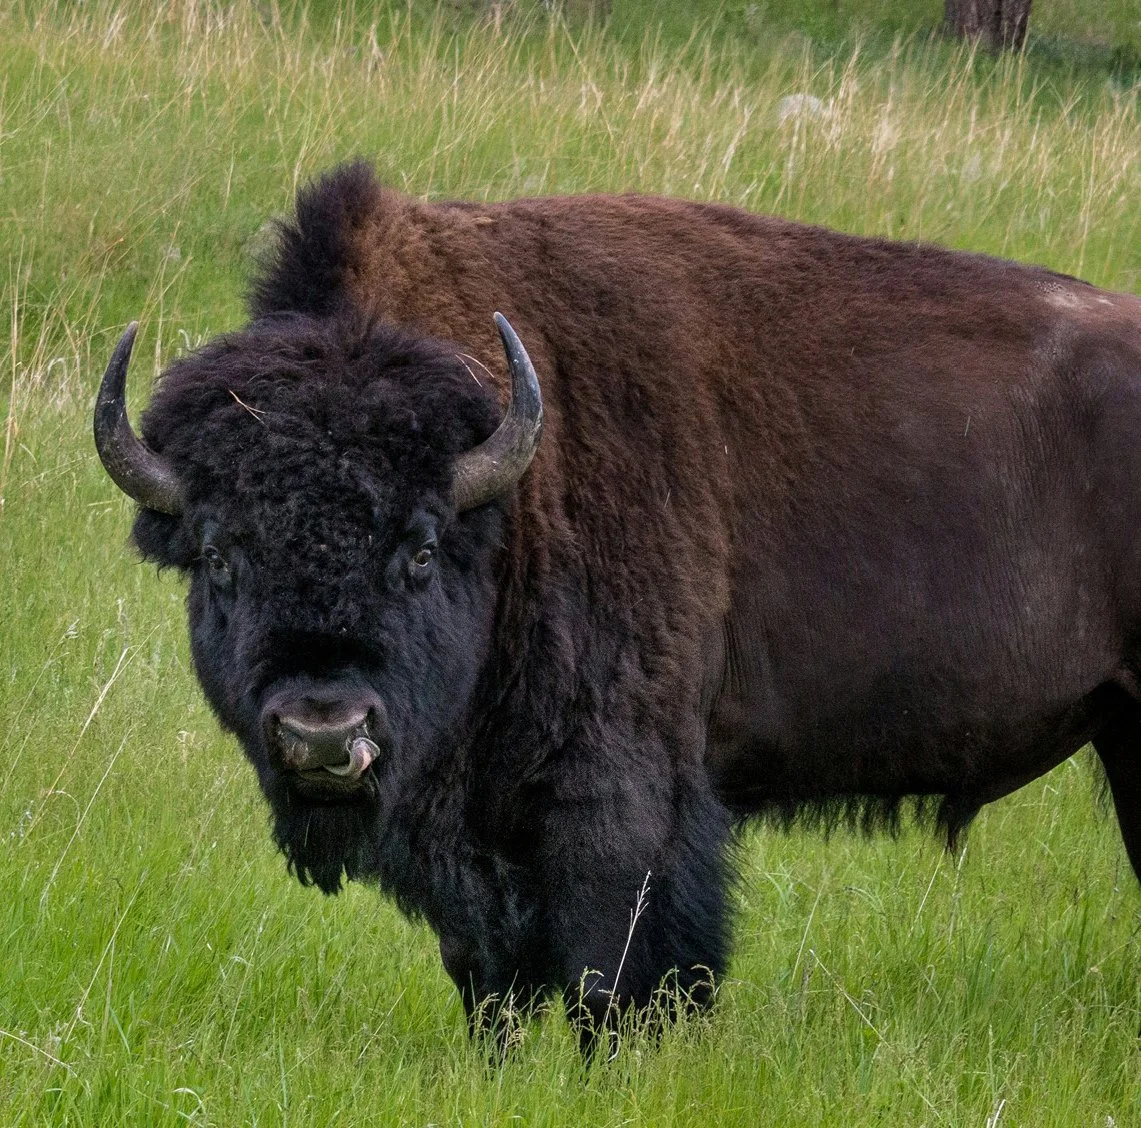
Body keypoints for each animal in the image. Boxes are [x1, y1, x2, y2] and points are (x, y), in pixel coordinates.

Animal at [95, 159, 1141, 1054]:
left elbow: (616, 974)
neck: (512, 498)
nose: (322, 732)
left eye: (422, 548)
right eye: (220, 555)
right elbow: (488, 980)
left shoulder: (621, 799)